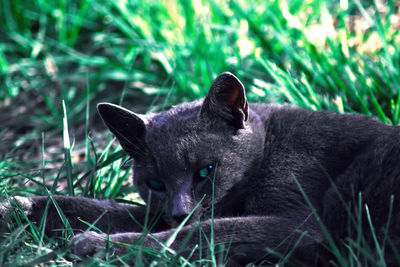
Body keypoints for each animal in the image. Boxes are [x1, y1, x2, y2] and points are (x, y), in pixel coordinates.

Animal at [0, 72, 400, 266]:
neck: (268, 148)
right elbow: (95, 208)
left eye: (206, 171)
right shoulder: (157, 212)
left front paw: (95, 245)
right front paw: (16, 209)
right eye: (156, 184)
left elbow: (204, 232)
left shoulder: (297, 224)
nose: (179, 211)